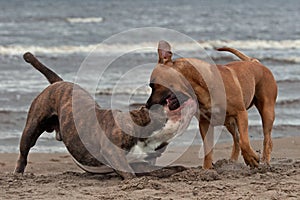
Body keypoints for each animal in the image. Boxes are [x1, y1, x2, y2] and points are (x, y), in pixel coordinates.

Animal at [14, 52, 197, 179]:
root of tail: (59, 82)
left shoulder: (142, 163)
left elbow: (164, 169)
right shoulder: (112, 151)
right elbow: (129, 174)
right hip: (32, 127)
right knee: (24, 152)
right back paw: (18, 174)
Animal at [146, 41, 278, 170]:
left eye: (153, 85)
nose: (147, 105)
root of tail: (254, 62)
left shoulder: (241, 113)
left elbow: (245, 141)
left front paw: (251, 158)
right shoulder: (205, 123)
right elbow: (208, 149)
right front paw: (207, 169)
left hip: (267, 111)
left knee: (266, 139)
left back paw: (265, 161)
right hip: (229, 122)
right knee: (236, 138)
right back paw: (232, 161)